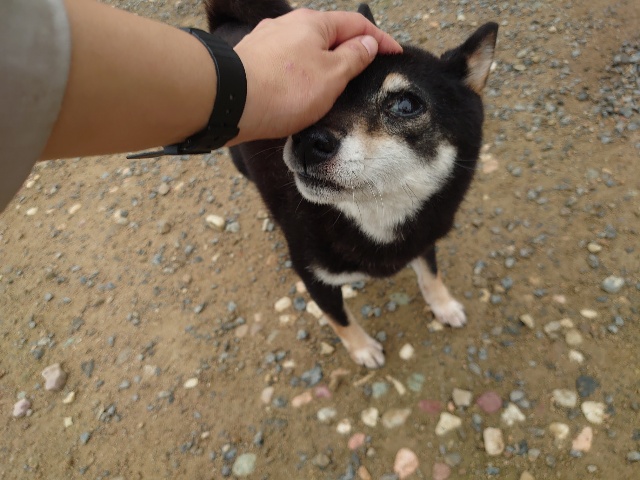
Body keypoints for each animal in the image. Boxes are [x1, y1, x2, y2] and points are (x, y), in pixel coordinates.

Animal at [206, 0, 498, 368]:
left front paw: (443, 304)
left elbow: (431, 273)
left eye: (406, 104)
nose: (306, 142)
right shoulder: (314, 277)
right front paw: (362, 349)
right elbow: (340, 319)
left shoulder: (424, 236)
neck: (376, 219)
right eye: (325, 91)